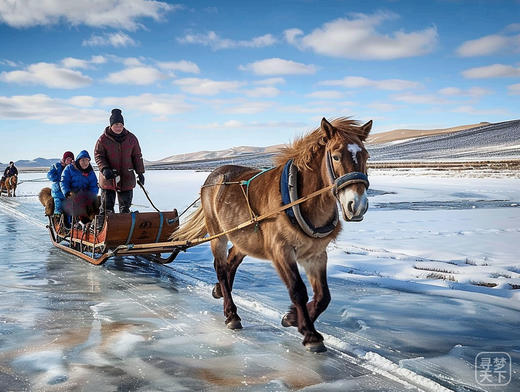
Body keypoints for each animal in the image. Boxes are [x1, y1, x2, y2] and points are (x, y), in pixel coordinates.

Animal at [173, 117, 372, 352]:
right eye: (336, 156)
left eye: (366, 156)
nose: (357, 205)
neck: (300, 199)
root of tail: (213, 176)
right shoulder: (281, 250)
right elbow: (297, 289)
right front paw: (310, 334)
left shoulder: (316, 254)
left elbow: (324, 296)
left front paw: (292, 318)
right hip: (217, 233)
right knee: (221, 268)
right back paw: (231, 313)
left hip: (244, 238)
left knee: (231, 262)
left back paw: (219, 291)